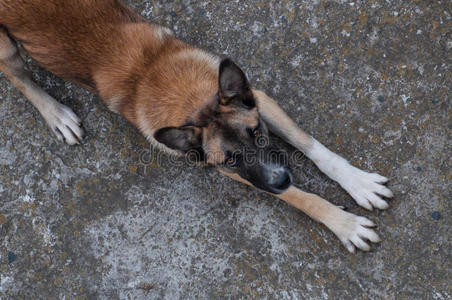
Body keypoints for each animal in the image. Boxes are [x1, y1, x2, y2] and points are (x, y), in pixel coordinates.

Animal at [0, 0, 392, 253]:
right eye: (231, 159)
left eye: (258, 134)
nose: (282, 178)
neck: (190, 101)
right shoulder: (229, 170)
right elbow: (301, 196)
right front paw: (345, 224)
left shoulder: (260, 101)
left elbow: (313, 146)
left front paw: (358, 183)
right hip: (6, 47)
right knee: (17, 75)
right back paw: (57, 115)